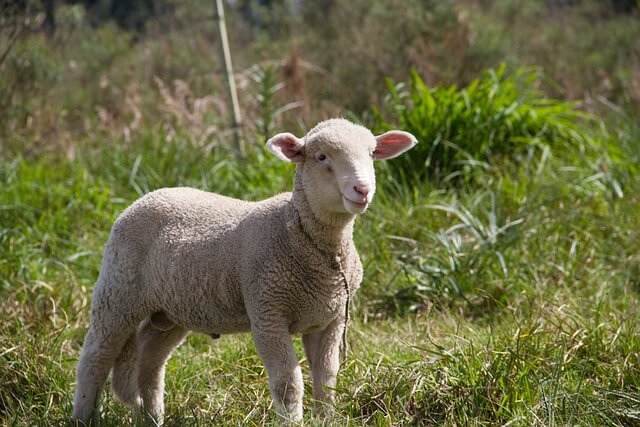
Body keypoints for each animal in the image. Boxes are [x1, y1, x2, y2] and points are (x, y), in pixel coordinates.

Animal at [72, 118, 418, 424]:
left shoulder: (330, 319)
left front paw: (327, 419)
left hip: (171, 310)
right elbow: (288, 384)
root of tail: (147, 196)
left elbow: (327, 380)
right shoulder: (267, 313)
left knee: (150, 358)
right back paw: (83, 416)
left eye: (372, 154)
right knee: (95, 357)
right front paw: (292, 422)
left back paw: (152, 417)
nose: (362, 189)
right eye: (321, 157)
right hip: (118, 291)